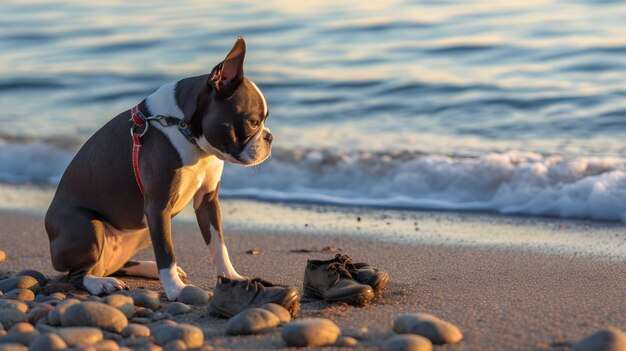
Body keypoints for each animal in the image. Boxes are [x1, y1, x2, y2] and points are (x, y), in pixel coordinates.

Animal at [46, 37, 270, 302]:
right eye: (253, 122)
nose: (270, 137)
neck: (184, 128)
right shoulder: (158, 206)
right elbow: (166, 253)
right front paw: (175, 290)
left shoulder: (207, 200)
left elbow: (218, 245)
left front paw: (231, 276)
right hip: (89, 227)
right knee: (79, 273)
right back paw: (99, 283)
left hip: (141, 231)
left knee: (111, 265)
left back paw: (144, 268)